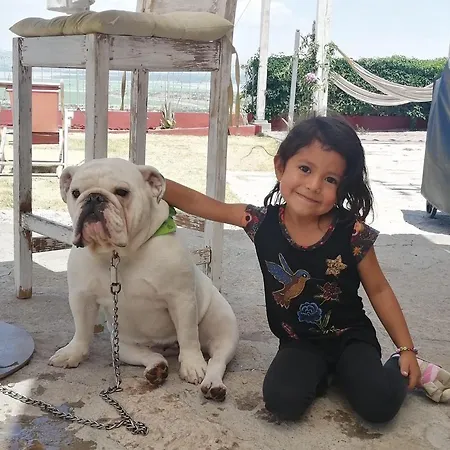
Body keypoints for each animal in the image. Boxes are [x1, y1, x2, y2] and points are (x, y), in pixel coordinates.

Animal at [48, 157, 239, 401]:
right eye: (75, 192)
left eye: (122, 192)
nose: (94, 198)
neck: (117, 254)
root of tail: (168, 347)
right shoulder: (81, 297)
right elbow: (81, 329)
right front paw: (72, 353)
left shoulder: (181, 299)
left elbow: (188, 335)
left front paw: (193, 365)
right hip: (122, 345)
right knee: (150, 356)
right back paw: (156, 369)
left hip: (223, 327)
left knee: (217, 358)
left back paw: (213, 384)